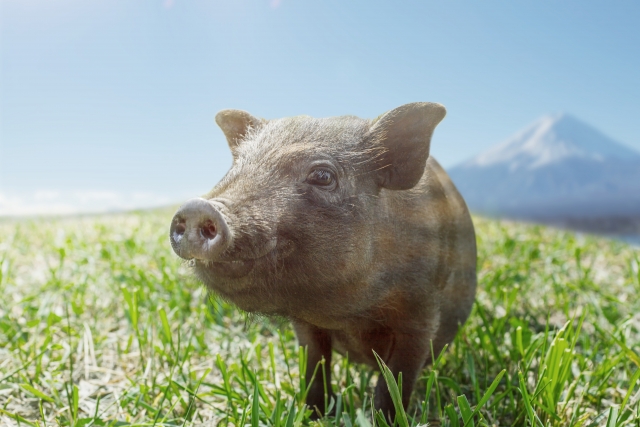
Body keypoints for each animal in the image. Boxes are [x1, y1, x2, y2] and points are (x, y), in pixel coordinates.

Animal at [169, 103, 476, 422]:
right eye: (236, 167)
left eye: (323, 176)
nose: (197, 207)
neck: (348, 314)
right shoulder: (305, 325)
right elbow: (314, 367)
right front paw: (314, 414)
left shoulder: (421, 314)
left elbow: (395, 381)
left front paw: (382, 418)